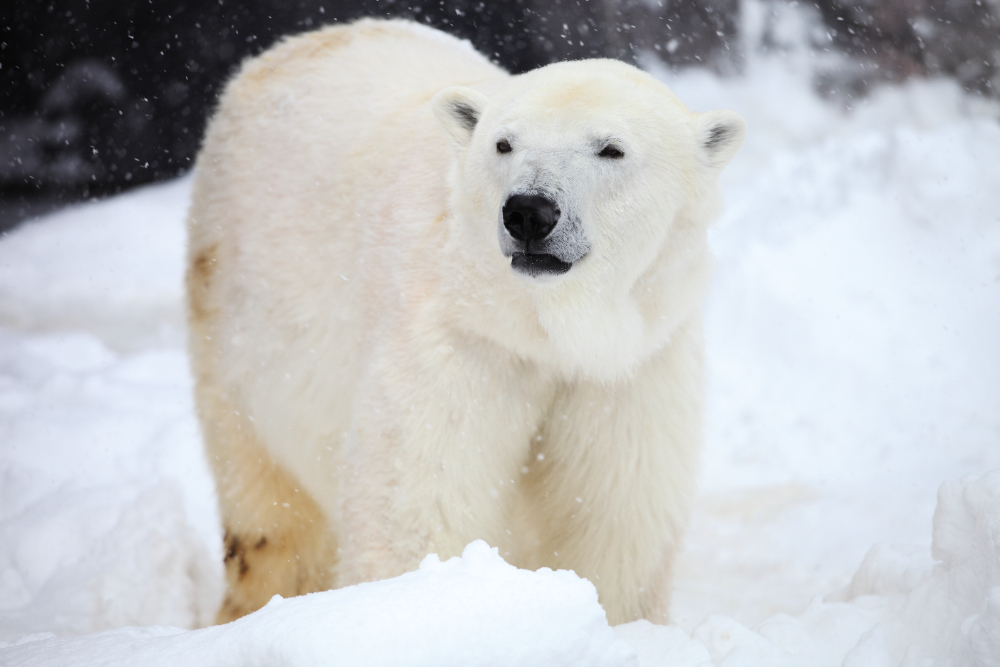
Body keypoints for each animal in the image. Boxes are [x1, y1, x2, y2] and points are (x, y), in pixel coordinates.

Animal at [186, 18, 744, 628]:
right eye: (504, 143)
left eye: (611, 149)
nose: (529, 212)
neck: (544, 328)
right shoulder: (458, 344)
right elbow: (422, 502)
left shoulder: (629, 367)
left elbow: (616, 511)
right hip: (235, 303)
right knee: (268, 510)